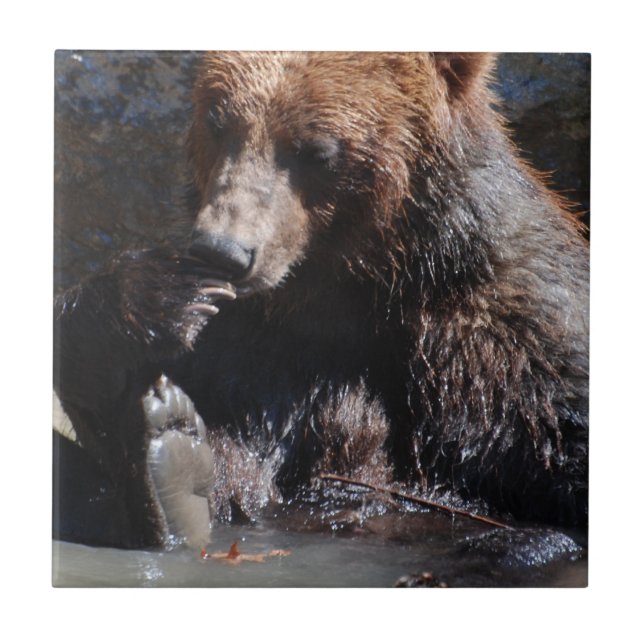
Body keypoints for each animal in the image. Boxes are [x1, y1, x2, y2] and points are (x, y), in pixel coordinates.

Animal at [53, 52, 588, 549]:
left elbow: (559, 437)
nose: (223, 249)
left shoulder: (507, 331)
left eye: (316, 149)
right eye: (218, 121)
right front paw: (163, 295)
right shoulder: (258, 346)